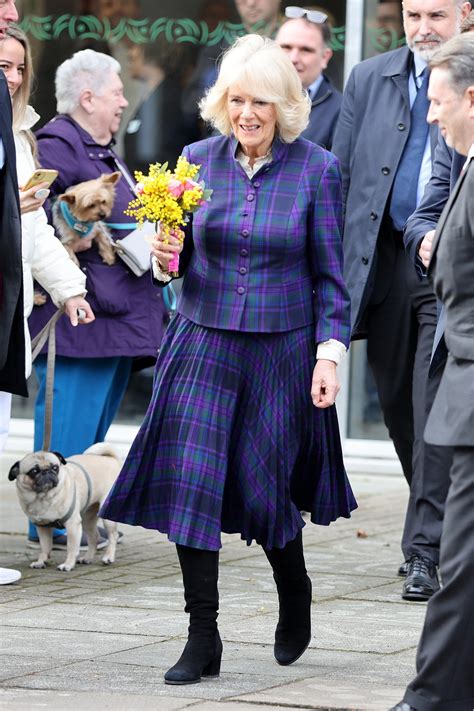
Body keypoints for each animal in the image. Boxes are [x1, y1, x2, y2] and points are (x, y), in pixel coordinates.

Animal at [8, 444, 120, 572]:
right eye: (34, 471)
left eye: (55, 467)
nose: (46, 471)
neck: (42, 498)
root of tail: (111, 459)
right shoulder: (42, 527)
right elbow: (45, 547)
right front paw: (41, 561)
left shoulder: (72, 525)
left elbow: (71, 548)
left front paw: (68, 564)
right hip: (87, 519)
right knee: (94, 537)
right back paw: (88, 558)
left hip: (107, 515)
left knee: (113, 535)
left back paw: (108, 557)